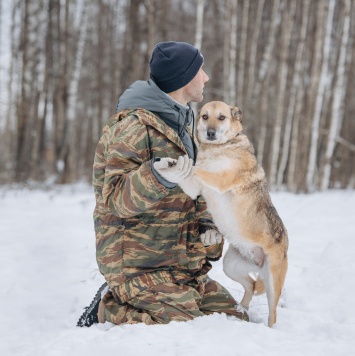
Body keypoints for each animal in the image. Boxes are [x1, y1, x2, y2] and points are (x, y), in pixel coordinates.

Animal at [178, 101, 290, 328]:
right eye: (205, 116)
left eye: (221, 117)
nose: (211, 133)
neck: (219, 148)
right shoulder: (197, 187)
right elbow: (195, 172)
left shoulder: (220, 179)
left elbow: (197, 169)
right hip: (231, 266)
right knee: (251, 284)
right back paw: (240, 309)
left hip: (273, 284)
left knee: (272, 313)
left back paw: (267, 328)